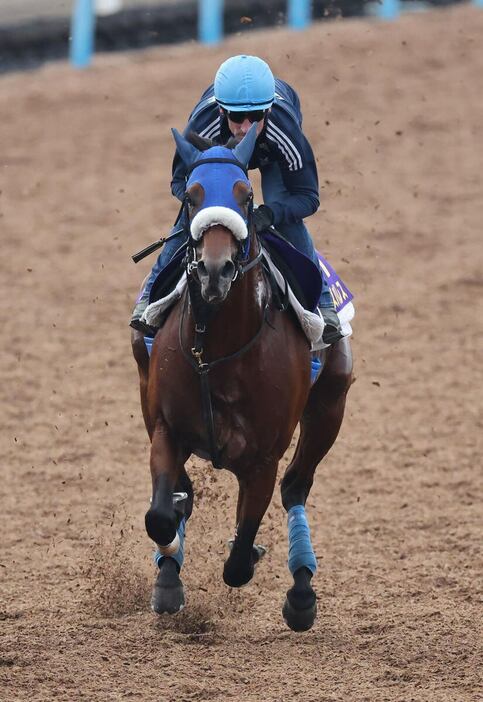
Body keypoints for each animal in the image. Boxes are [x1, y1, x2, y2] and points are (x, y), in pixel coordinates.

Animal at [130, 122, 354, 632]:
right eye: (190, 196)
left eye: (246, 195)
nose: (216, 271)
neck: (217, 352)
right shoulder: (166, 429)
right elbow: (161, 515)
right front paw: (168, 576)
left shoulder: (262, 458)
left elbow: (238, 558)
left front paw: (250, 553)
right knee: (185, 494)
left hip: (330, 406)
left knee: (296, 487)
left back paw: (301, 590)